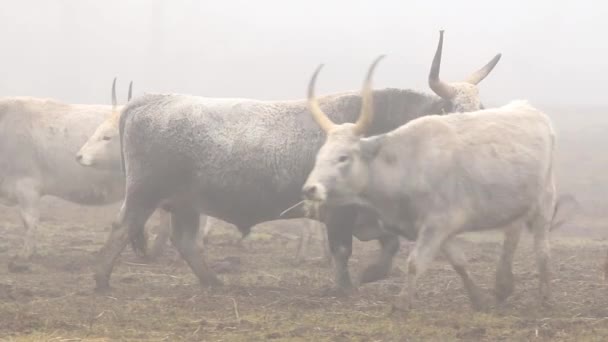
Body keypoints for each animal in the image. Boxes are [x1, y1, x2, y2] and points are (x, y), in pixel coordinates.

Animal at [96, 31, 504, 292]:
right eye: (451, 112)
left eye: (482, 110)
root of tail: (149, 100)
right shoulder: (339, 214)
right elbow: (342, 250)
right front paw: (345, 288)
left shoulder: (371, 216)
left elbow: (387, 248)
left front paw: (369, 275)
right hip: (145, 195)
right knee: (121, 229)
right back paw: (101, 282)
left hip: (185, 204)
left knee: (186, 243)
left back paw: (214, 282)